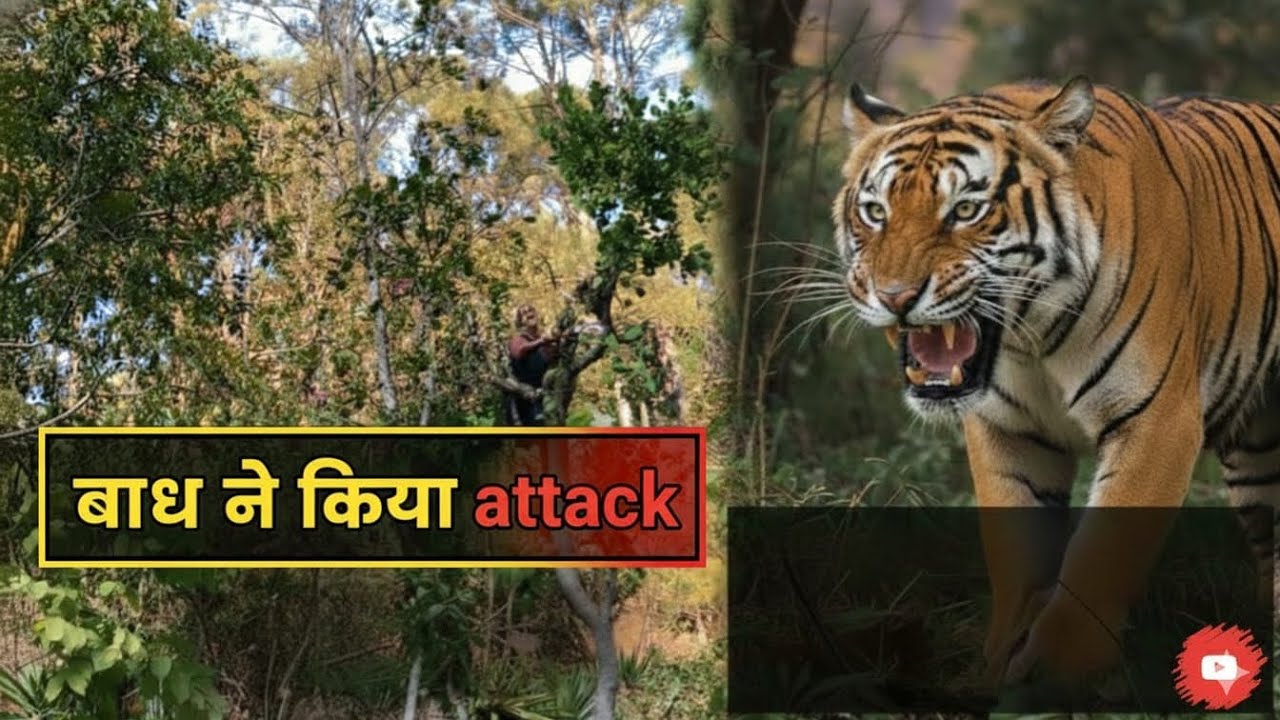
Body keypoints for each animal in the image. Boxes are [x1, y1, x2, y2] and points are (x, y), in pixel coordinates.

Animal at [831, 76, 1280, 688]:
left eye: (965, 210)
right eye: (876, 212)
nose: (894, 296)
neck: (1031, 339)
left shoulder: (1156, 422)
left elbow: (1101, 559)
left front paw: (1055, 676)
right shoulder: (1007, 432)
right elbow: (1017, 555)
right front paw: (998, 664)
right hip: (1259, 455)